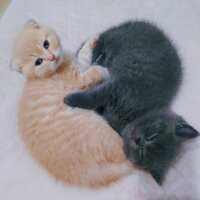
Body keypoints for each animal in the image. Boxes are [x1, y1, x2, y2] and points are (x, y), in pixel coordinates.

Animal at [11, 19, 133, 188]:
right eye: (38, 62)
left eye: (46, 44)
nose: (52, 57)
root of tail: (86, 174)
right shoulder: (79, 80)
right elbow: (94, 71)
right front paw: (103, 68)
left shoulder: (80, 65)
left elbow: (83, 56)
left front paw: (92, 41)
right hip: (100, 130)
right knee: (122, 154)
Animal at [65, 21, 199, 184]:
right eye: (153, 136)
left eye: (141, 153)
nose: (138, 140)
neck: (134, 115)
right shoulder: (118, 87)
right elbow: (95, 96)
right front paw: (71, 99)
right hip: (118, 39)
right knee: (97, 43)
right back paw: (97, 52)